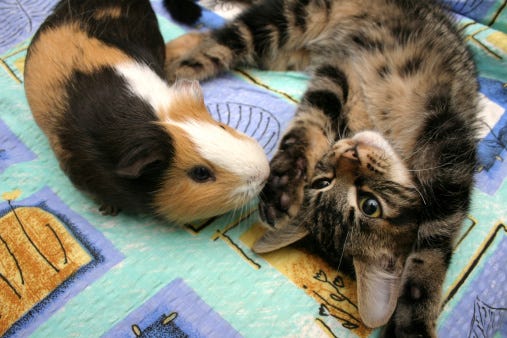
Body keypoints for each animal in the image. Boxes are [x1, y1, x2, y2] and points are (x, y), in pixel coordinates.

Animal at [166, 1, 480, 336]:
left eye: (370, 205)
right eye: (323, 183)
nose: (351, 153)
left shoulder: (447, 148)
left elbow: (435, 242)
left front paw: (415, 308)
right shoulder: (344, 80)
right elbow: (307, 128)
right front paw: (282, 184)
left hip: (283, 51)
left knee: (209, 36)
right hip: (293, 18)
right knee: (217, 44)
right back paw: (167, 74)